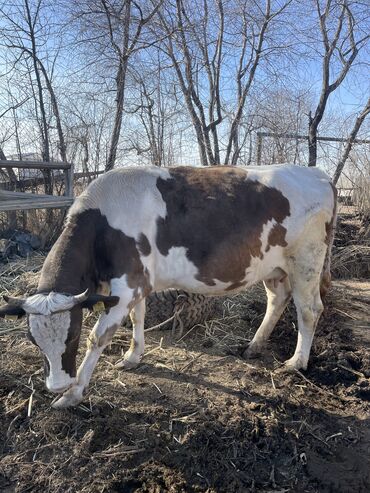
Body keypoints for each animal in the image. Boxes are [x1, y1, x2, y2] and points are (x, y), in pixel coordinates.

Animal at [0, 165, 336, 408]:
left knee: (309, 309)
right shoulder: (136, 283)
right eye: (33, 340)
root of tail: (317, 173)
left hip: (306, 261)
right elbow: (137, 316)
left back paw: (295, 363)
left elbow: (99, 337)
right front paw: (133, 357)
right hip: (274, 268)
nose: (55, 384)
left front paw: (72, 394)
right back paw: (254, 345)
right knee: (277, 300)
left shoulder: (128, 284)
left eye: (71, 336)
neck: (103, 222)